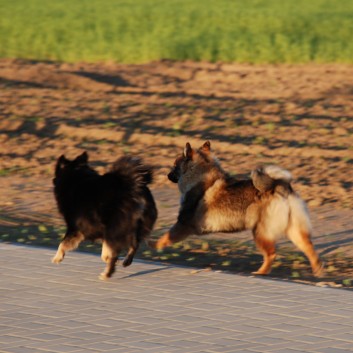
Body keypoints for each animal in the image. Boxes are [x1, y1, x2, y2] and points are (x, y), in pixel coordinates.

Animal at [150, 140, 324, 276]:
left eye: (174, 166)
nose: (167, 175)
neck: (200, 176)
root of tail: (280, 186)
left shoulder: (183, 223)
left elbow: (165, 238)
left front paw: (153, 247)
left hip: (260, 232)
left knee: (271, 254)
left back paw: (260, 272)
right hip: (294, 230)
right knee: (309, 248)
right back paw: (317, 270)